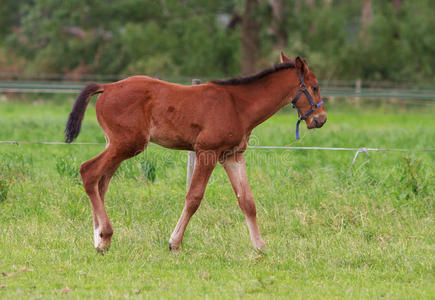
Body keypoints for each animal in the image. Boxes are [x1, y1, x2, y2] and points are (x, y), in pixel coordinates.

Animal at [63, 52, 326, 253]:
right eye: (314, 87)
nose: (320, 119)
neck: (237, 105)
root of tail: (107, 87)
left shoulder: (232, 156)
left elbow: (247, 201)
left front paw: (260, 247)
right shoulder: (207, 152)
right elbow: (194, 198)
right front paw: (174, 243)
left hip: (117, 145)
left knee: (101, 181)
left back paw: (100, 239)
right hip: (127, 144)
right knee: (89, 172)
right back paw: (105, 235)